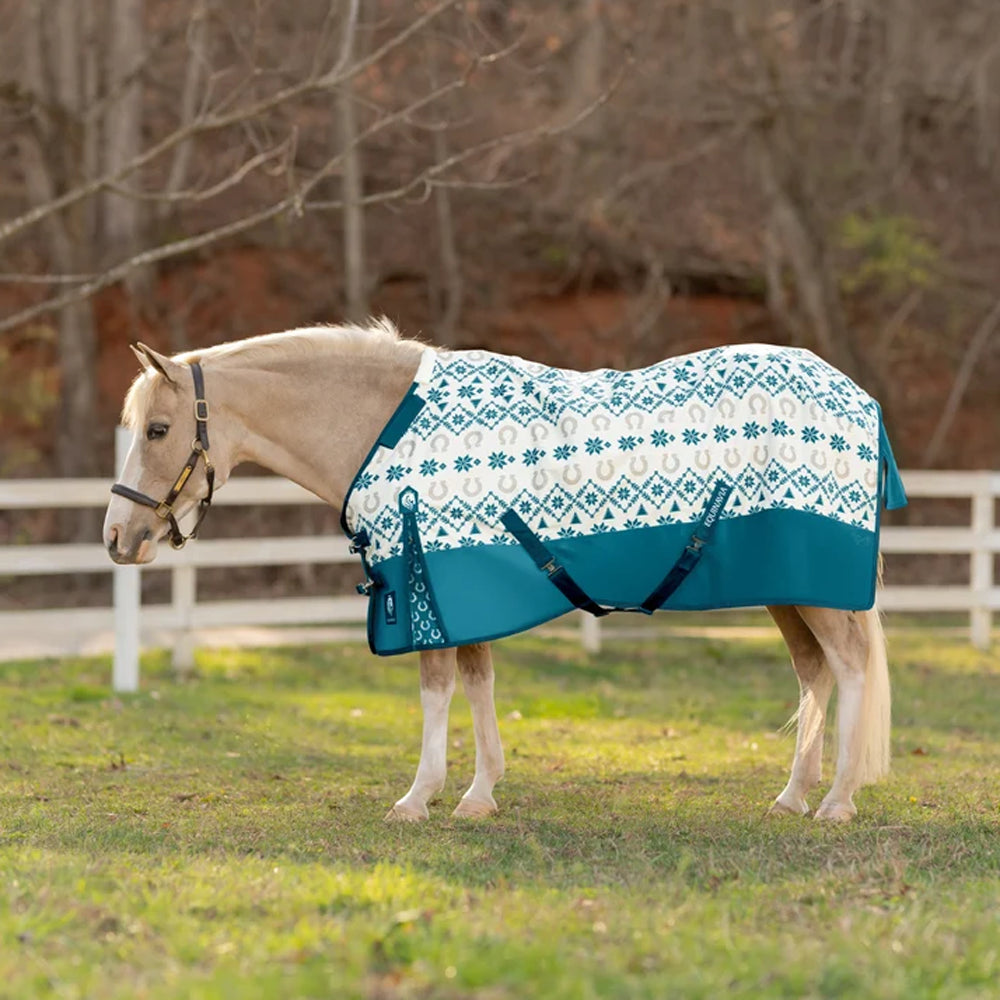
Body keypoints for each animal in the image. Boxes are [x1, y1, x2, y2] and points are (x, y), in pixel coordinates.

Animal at [104, 319, 905, 823]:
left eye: (159, 430)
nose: (118, 537)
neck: (385, 425)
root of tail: (857, 395)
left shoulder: (428, 580)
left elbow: (438, 690)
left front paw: (417, 798)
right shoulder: (460, 584)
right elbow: (478, 683)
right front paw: (479, 794)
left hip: (812, 587)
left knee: (851, 667)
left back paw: (836, 803)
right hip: (787, 591)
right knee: (814, 673)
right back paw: (792, 797)